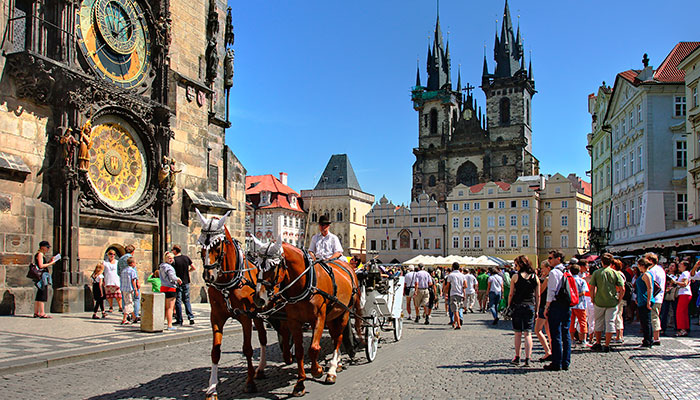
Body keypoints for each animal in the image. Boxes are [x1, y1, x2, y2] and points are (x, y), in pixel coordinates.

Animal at [196, 209, 290, 399]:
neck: (228, 282)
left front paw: (249, 383)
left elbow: (247, 349)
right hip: (261, 313)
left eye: (217, 245)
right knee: (264, 336)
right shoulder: (216, 317)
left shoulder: (246, 317)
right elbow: (215, 352)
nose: (208, 276)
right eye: (201, 244)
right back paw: (262, 368)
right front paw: (212, 388)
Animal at [252, 239, 362, 397]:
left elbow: (314, 348)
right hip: (332, 315)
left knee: (339, 338)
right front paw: (299, 384)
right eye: (257, 264)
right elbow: (299, 351)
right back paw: (337, 364)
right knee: (335, 337)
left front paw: (318, 371)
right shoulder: (294, 321)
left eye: (273, 266)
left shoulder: (318, 318)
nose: (258, 299)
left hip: (344, 312)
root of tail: (348, 268)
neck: (304, 283)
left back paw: (332, 371)